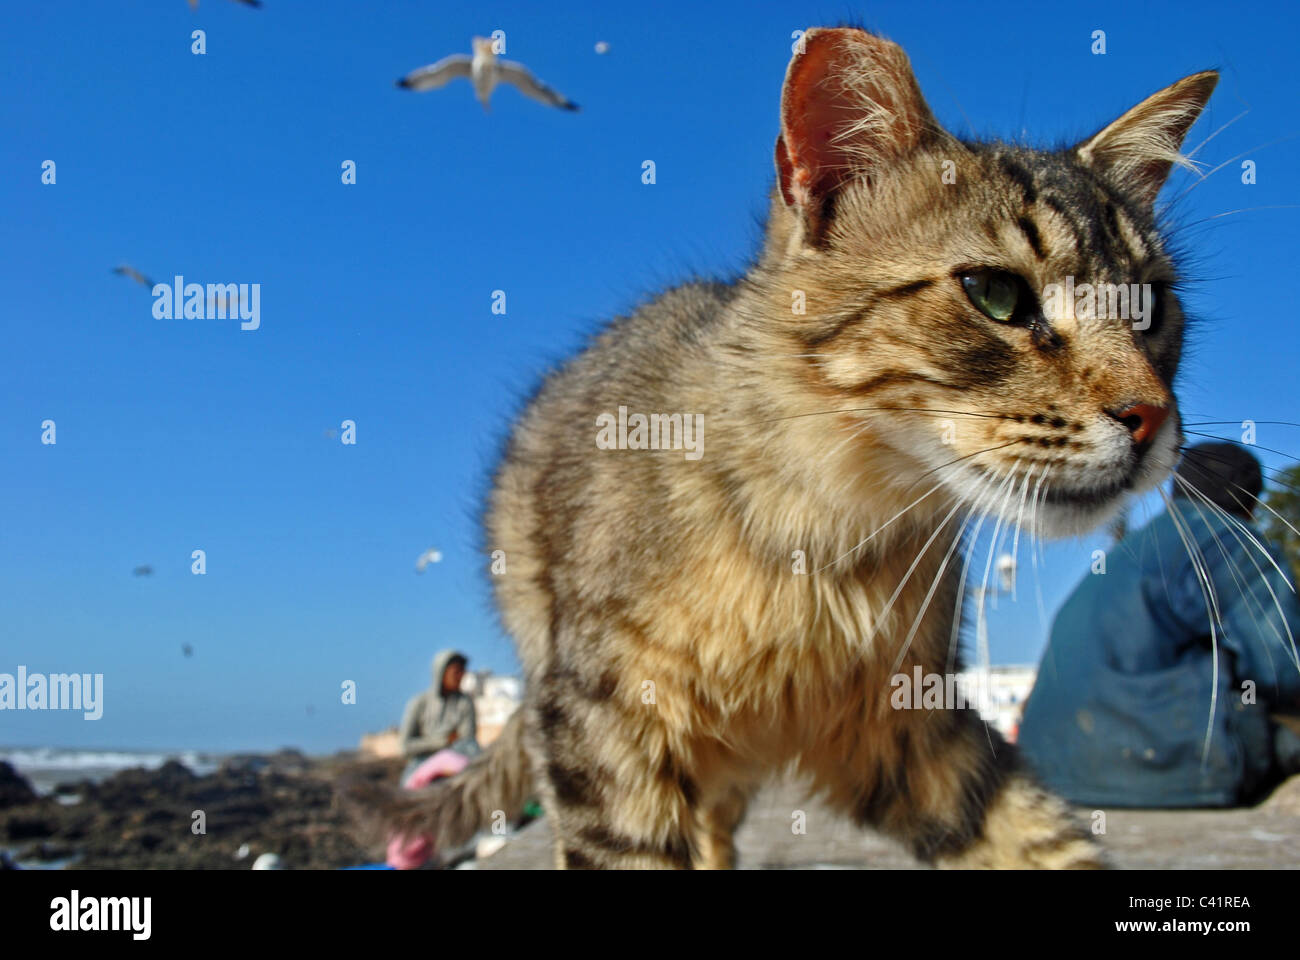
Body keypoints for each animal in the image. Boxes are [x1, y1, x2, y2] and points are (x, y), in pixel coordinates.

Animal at [353, 27, 1216, 868]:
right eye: (997, 296)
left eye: (1152, 308)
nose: (1150, 416)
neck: (826, 539)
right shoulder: (606, 726)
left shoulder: (916, 734)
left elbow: (1039, 836)